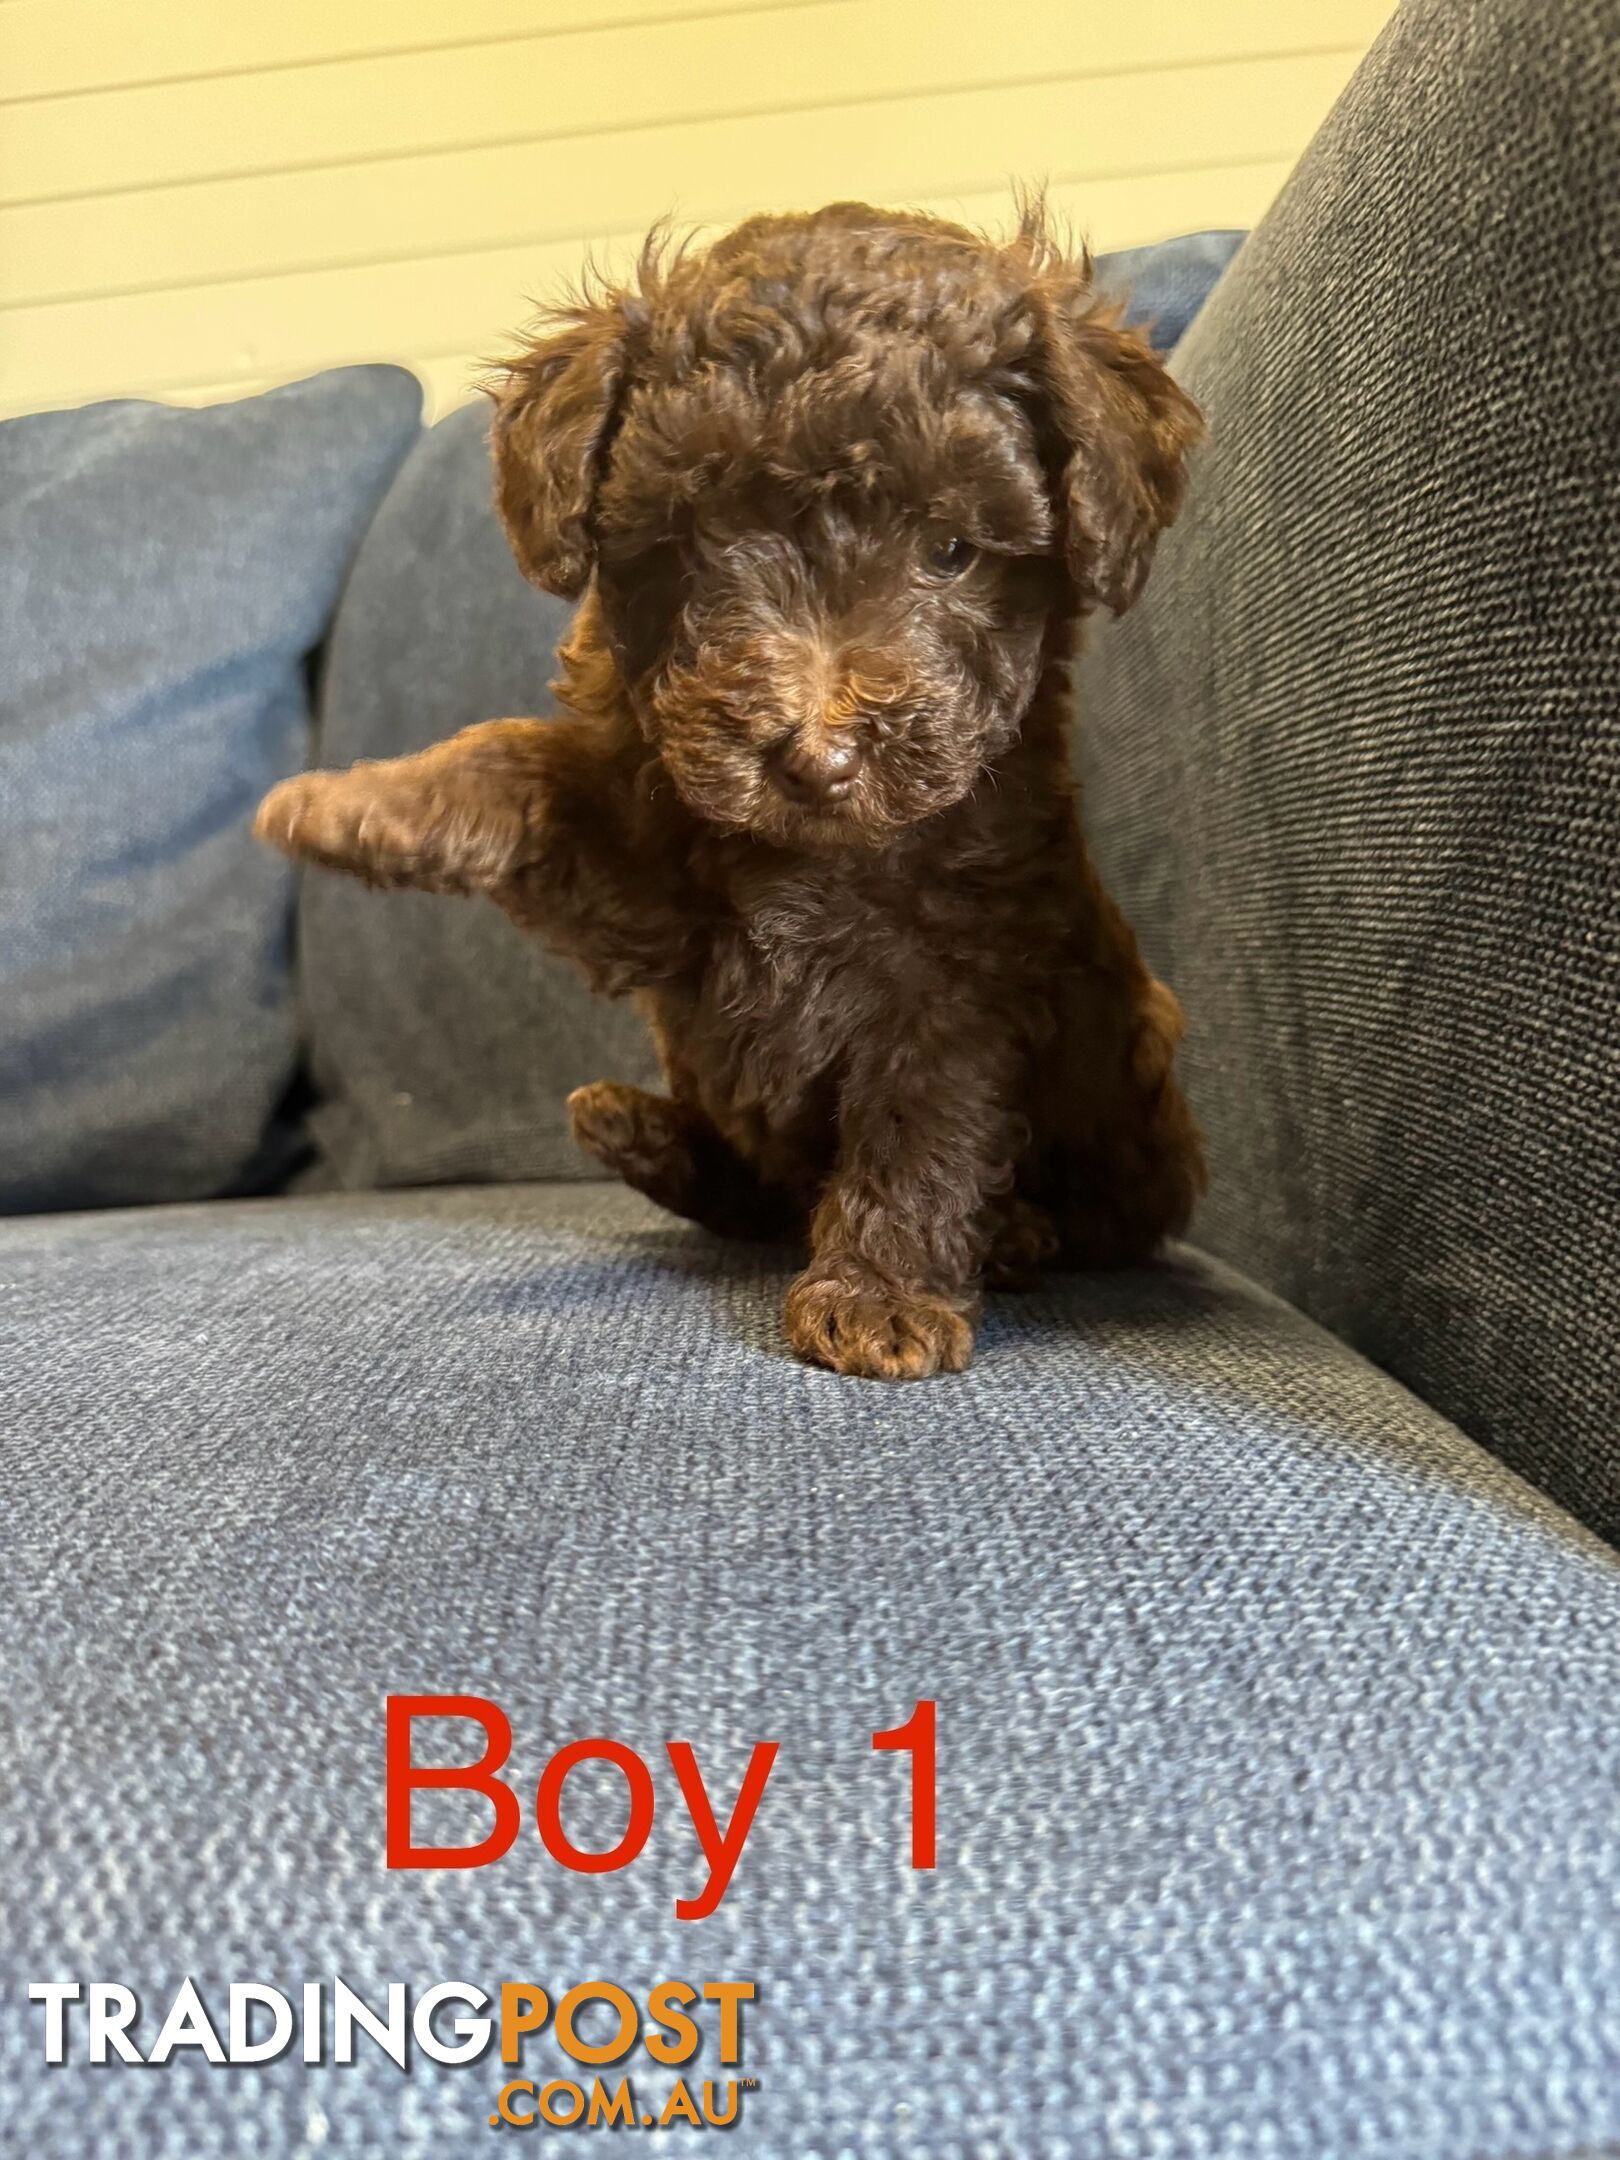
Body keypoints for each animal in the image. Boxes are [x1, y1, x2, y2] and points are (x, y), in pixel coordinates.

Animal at [260, 206, 1209, 1382]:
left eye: (951, 549)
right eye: (702, 540)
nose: (816, 758)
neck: (810, 853)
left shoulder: (964, 974)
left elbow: (922, 1121)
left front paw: (881, 1296)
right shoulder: (654, 894)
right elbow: (525, 760)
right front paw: (361, 802)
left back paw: (1013, 1236)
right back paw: (640, 1130)